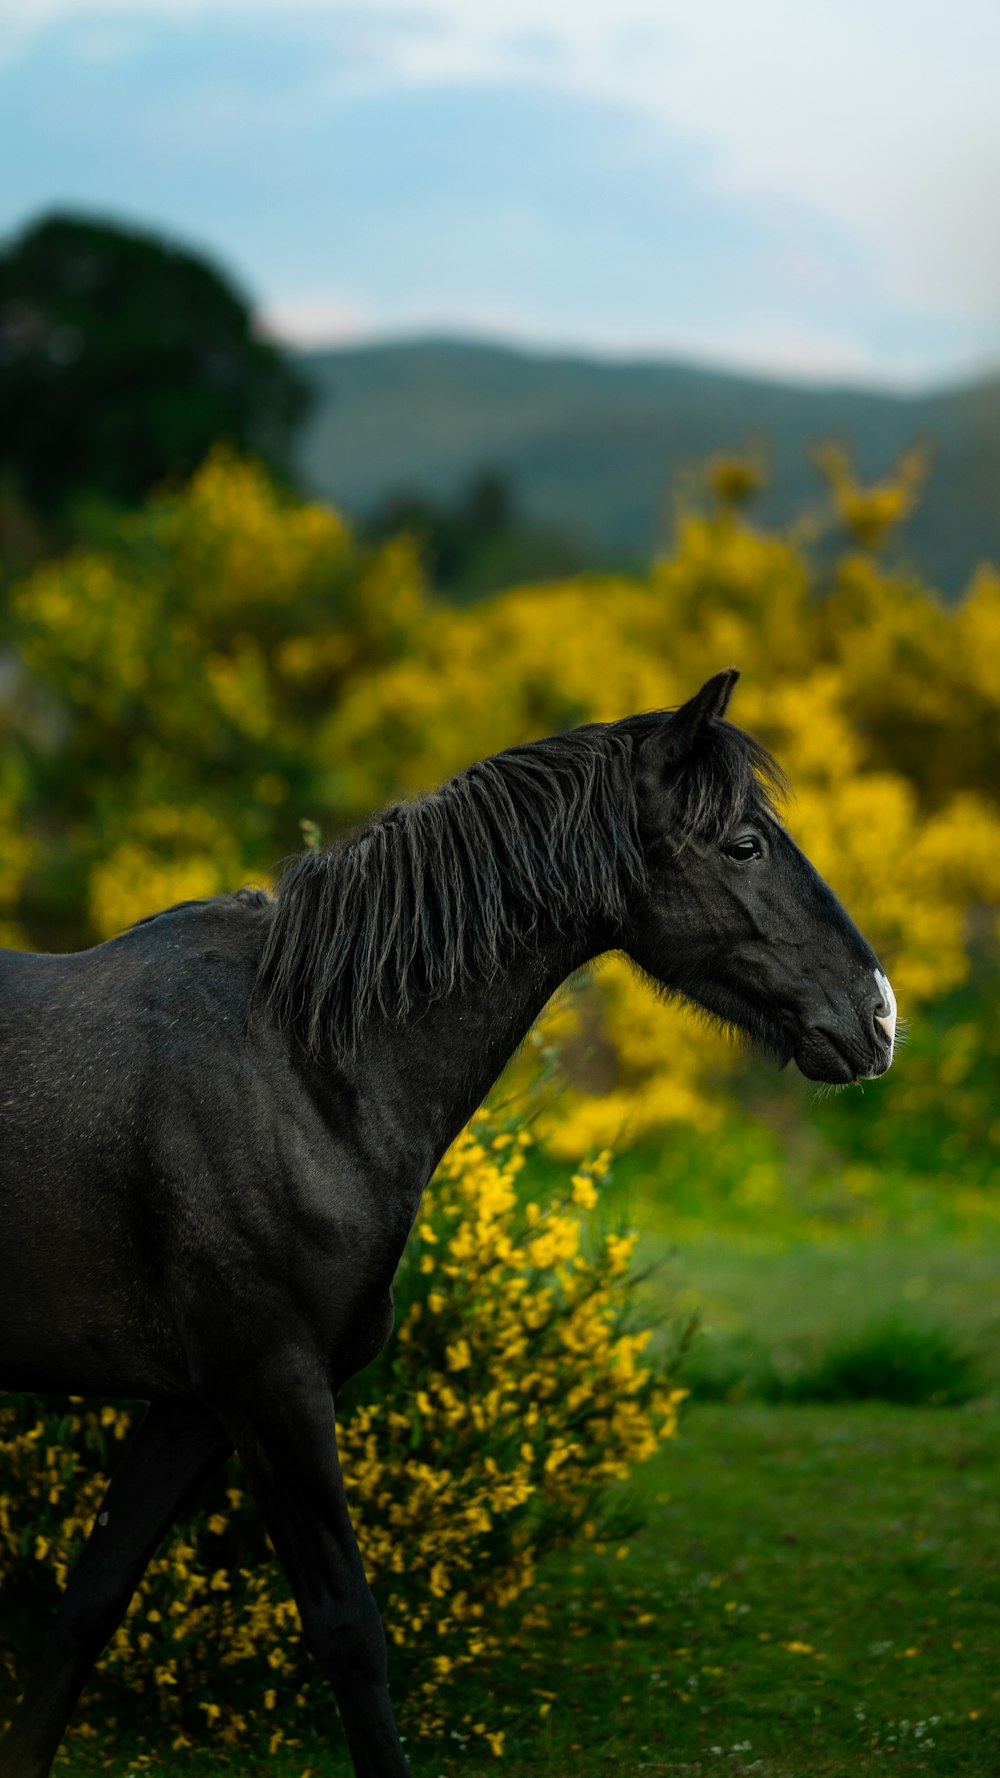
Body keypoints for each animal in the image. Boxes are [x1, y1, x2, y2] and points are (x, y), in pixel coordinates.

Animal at [0, 668, 886, 1778]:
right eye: (744, 844)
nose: (878, 1014)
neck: (297, 1063)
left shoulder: (193, 1407)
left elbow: (85, 1611)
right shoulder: (271, 1387)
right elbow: (347, 1630)